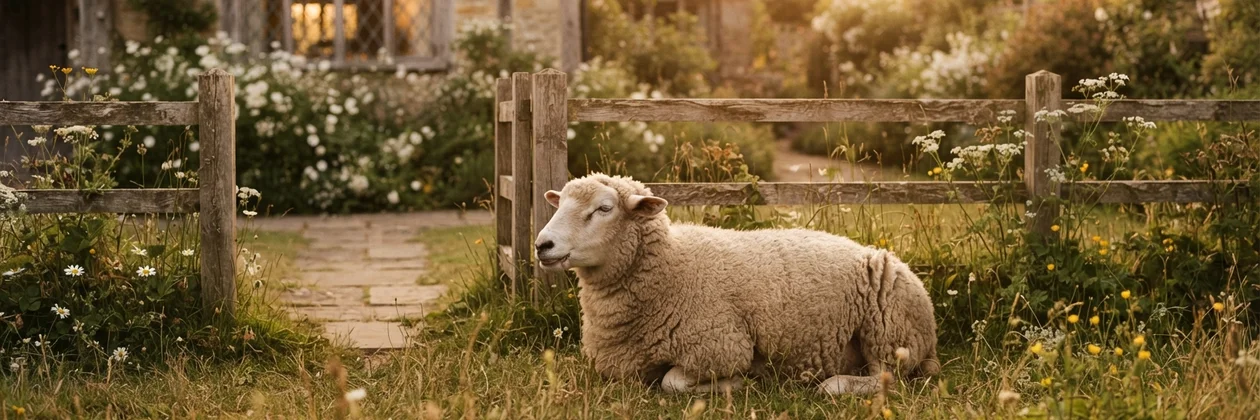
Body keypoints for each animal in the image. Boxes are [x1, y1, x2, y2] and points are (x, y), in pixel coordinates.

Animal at [533, 174, 939, 395]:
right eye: (560, 203)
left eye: (604, 208)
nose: (542, 244)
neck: (671, 268)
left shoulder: (721, 347)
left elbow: (672, 382)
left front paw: (742, 383)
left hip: (889, 333)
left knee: (889, 378)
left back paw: (834, 385)